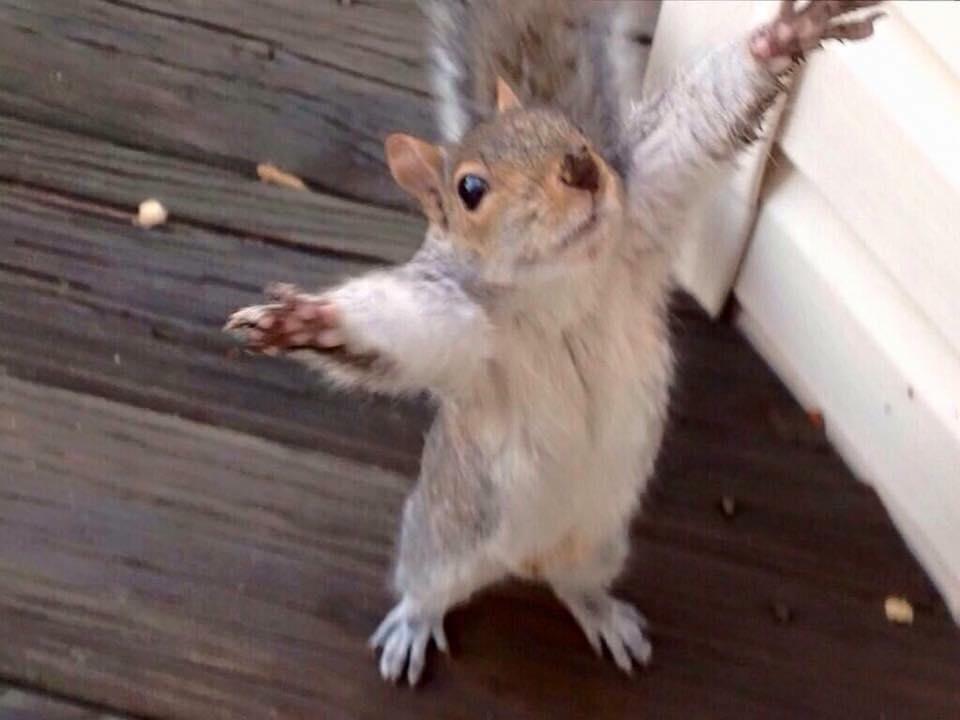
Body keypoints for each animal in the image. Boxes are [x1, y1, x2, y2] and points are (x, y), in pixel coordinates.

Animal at [226, 0, 883, 686]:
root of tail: (532, 561)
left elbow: (698, 120)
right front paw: (307, 321)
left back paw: (602, 615)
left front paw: (781, 38)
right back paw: (413, 623)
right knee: (426, 585)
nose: (582, 167)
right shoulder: (459, 323)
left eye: (568, 129)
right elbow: (401, 329)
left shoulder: (645, 207)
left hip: (599, 544)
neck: (565, 284)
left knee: (577, 586)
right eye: (469, 189)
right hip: (444, 538)